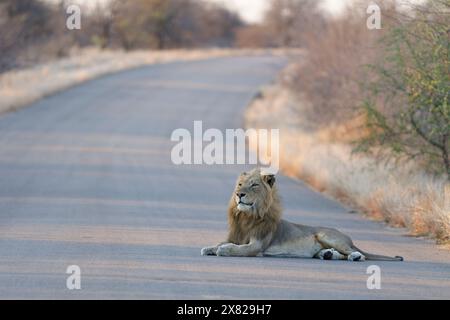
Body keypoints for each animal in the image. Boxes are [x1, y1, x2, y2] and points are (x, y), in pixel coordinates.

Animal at [200, 169, 404, 262]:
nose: (239, 194)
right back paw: (327, 254)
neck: (247, 216)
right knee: (336, 254)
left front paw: (223, 249)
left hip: (326, 235)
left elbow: (233, 248)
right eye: (240, 185)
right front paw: (209, 248)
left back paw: (353, 256)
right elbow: (216, 244)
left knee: (360, 254)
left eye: (254, 185)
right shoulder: (237, 237)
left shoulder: (256, 246)